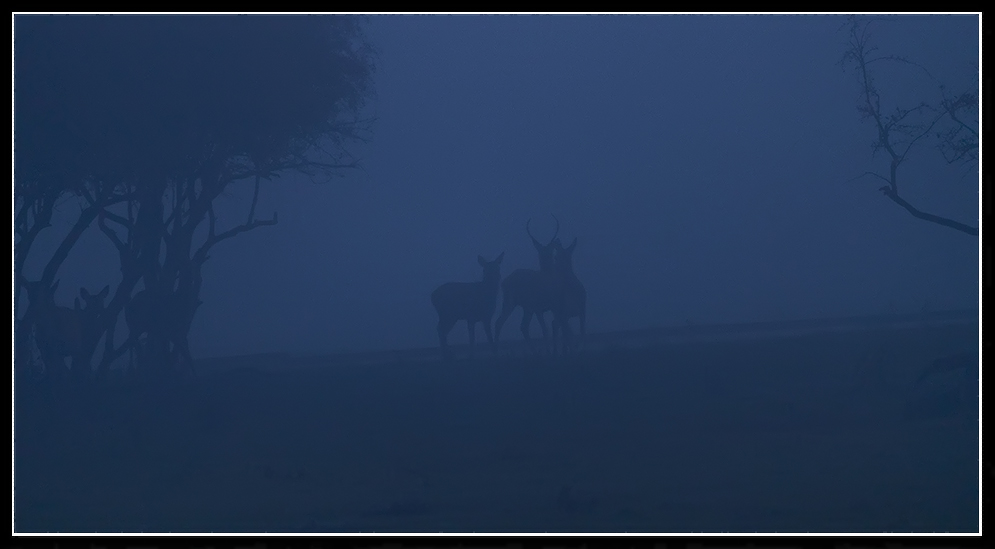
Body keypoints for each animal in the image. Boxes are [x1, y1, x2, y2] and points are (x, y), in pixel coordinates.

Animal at [494, 216, 564, 354]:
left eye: (547, 251)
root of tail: (505, 282)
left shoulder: (550, 306)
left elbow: (556, 326)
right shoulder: (541, 306)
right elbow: (547, 328)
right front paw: (551, 350)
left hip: (513, 303)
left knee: (506, 323)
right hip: (525, 304)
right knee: (521, 325)